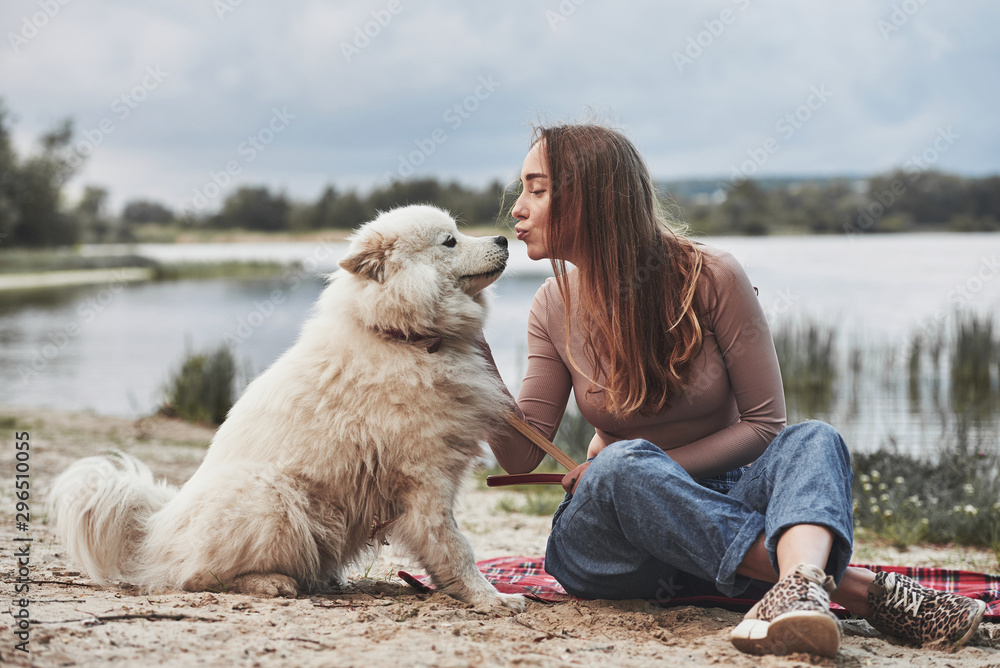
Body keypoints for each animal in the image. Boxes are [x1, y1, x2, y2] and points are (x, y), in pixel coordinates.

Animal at [48, 206, 524, 612]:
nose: (504, 237)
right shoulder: (426, 481)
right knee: (193, 576)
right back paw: (271, 582)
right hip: (273, 496)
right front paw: (492, 598)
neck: (403, 338)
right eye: (449, 240)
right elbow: (457, 548)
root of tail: (155, 529)